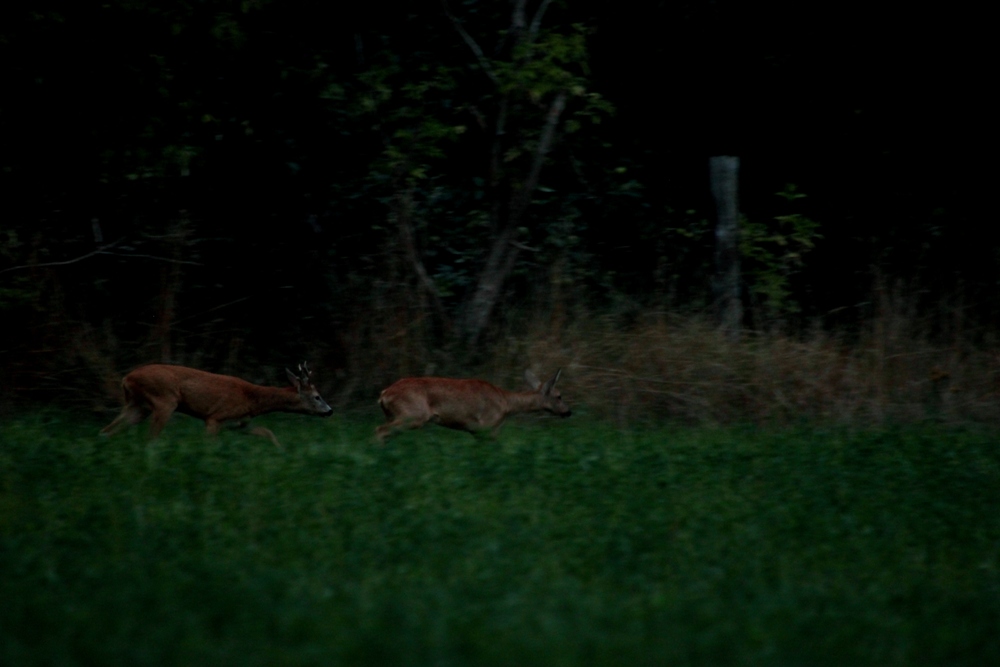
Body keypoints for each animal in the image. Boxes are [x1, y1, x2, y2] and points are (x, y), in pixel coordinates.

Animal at [102, 360, 336, 448]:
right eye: (317, 396)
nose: (330, 411)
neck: (252, 400)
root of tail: (127, 378)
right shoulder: (215, 417)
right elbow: (210, 444)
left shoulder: (239, 423)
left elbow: (267, 432)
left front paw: (280, 450)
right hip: (164, 400)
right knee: (151, 438)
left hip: (137, 405)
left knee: (107, 431)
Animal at [376, 370, 572, 444]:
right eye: (559, 396)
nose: (568, 412)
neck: (506, 403)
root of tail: (384, 394)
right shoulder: (487, 426)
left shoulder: (477, 431)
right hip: (413, 414)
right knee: (380, 430)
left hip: (395, 415)